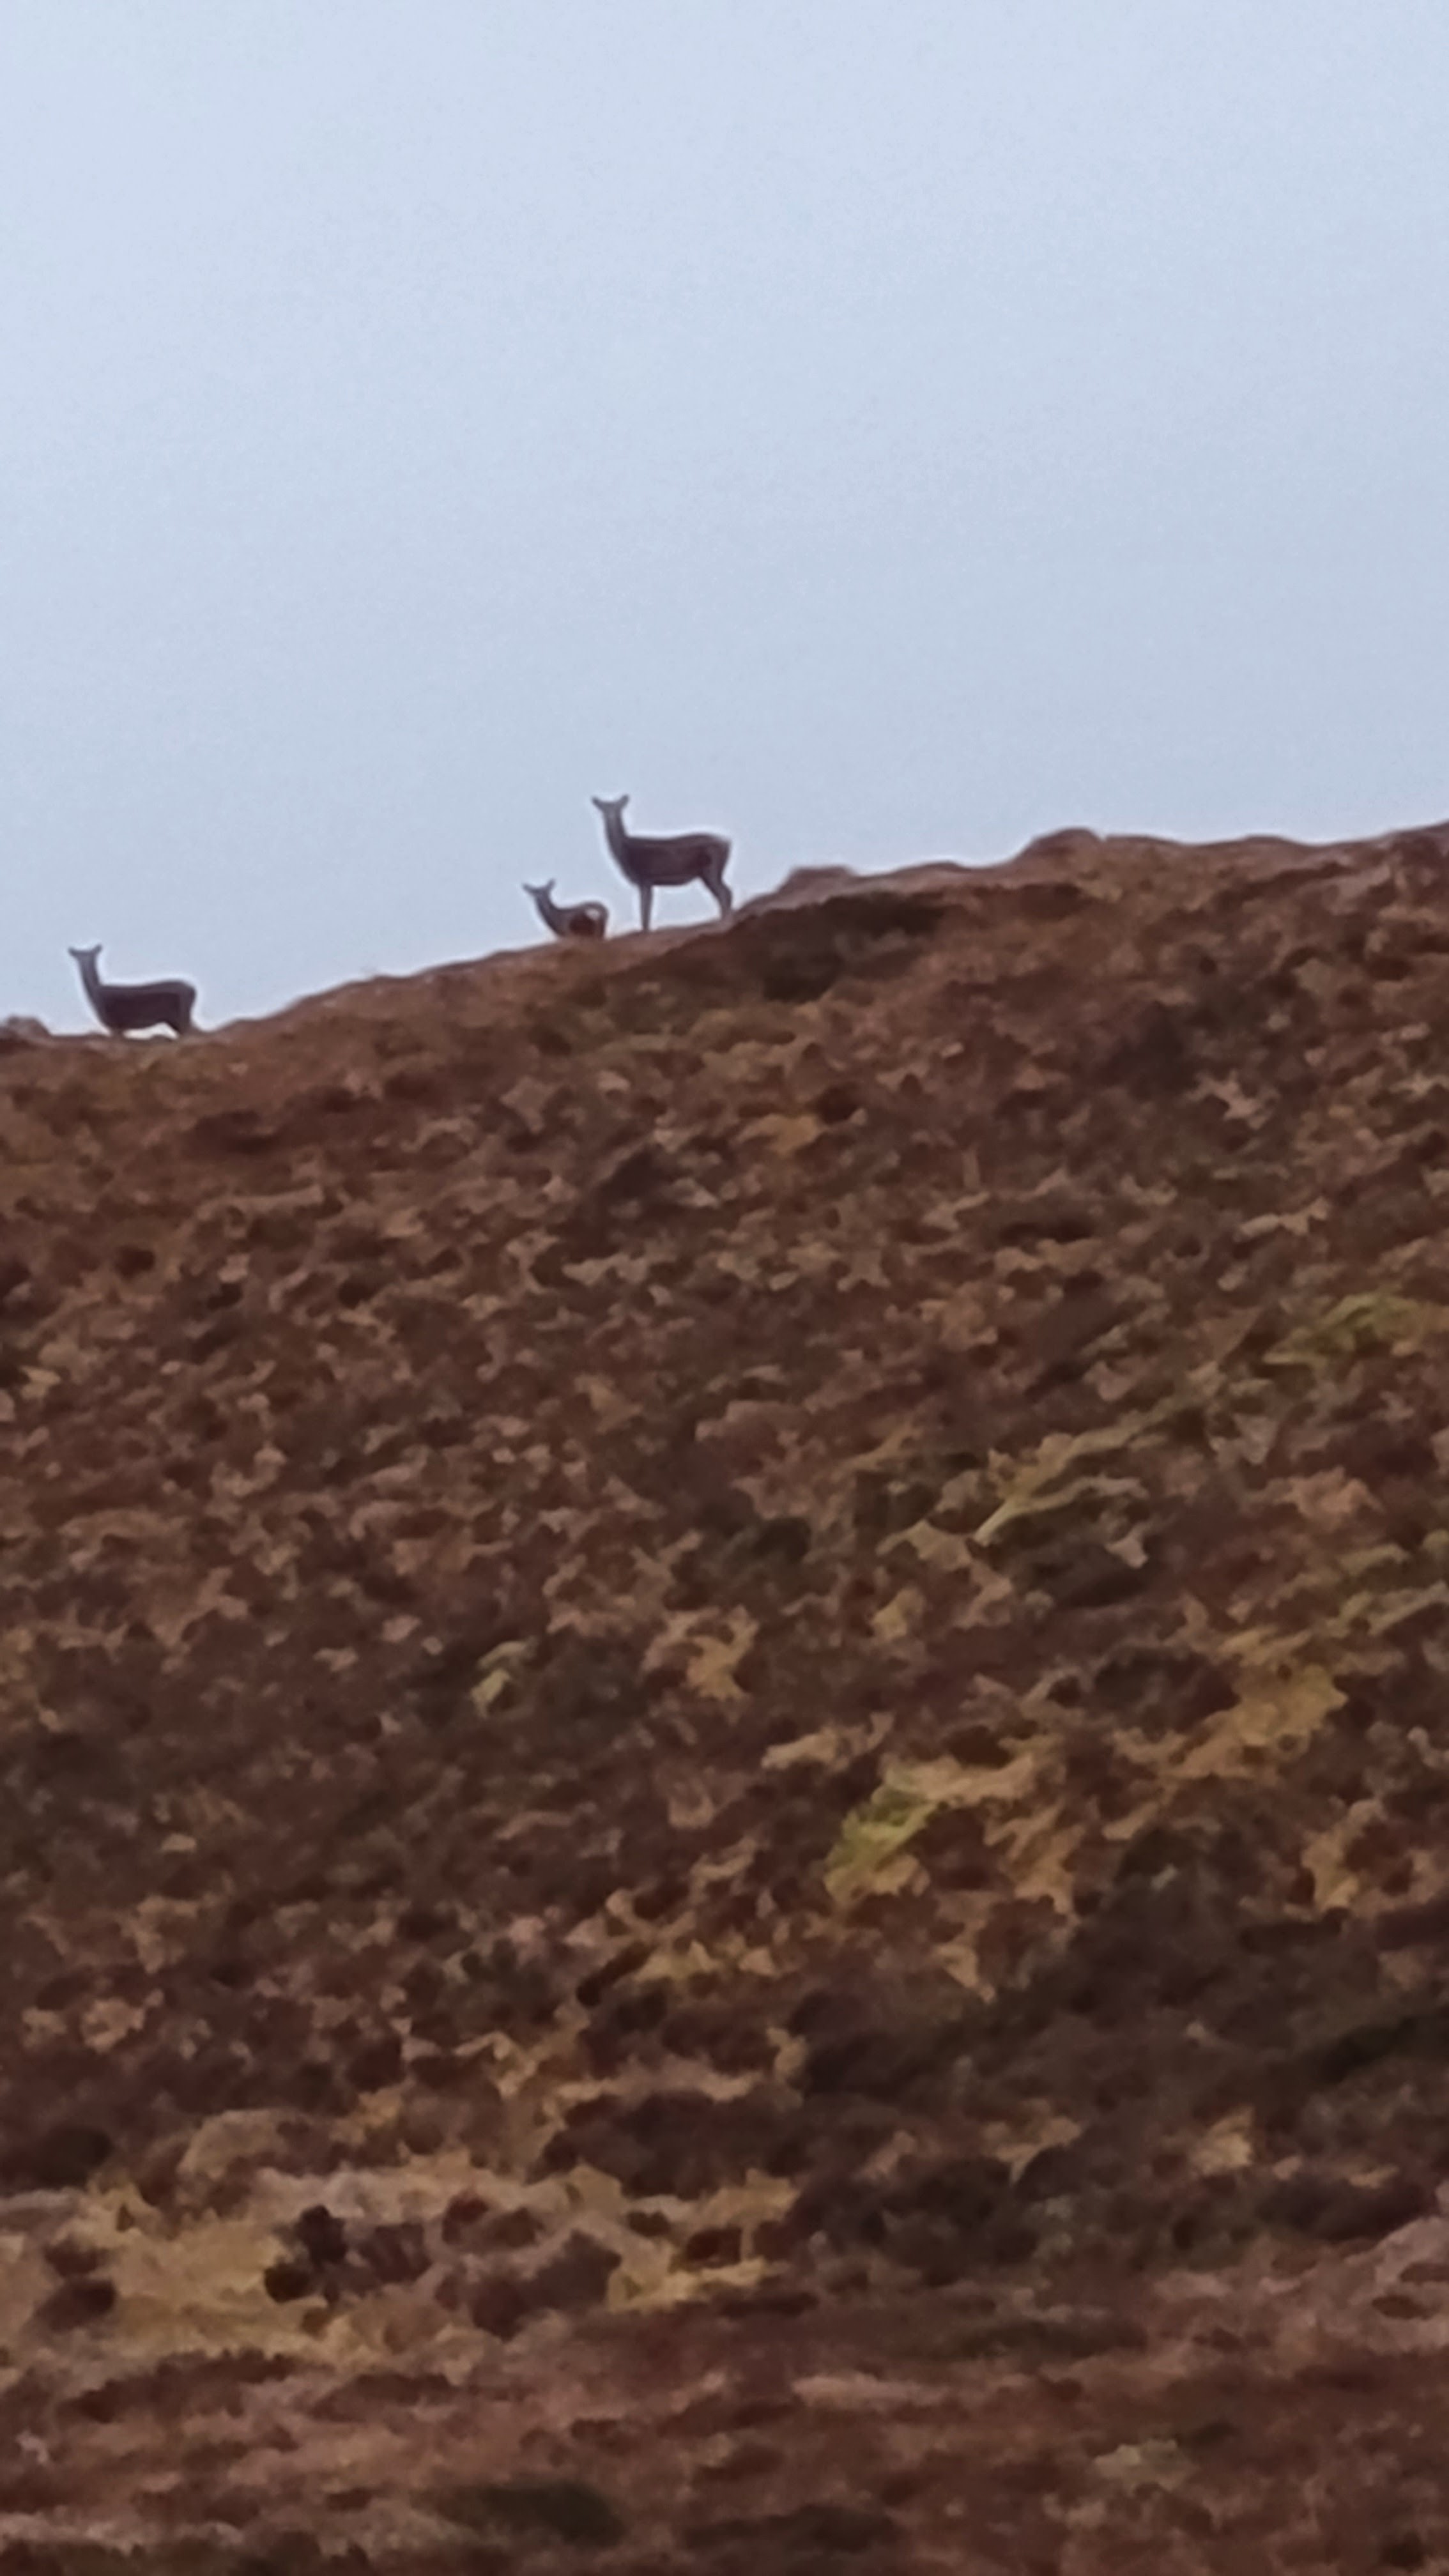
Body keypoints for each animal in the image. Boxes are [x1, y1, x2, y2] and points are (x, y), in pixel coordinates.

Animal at [69, 945, 197, 1037]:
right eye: (79, 957)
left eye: (92, 957)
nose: (84, 965)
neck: (95, 996)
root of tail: (194, 990)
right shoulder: (122, 1028)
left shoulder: (115, 1024)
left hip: (180, 1016)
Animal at [591, 794, 733, 934]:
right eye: (604, 810)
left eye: (618, 809)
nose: (610, 817)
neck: (626, 853)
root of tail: (728, 843)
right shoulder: (648, 881)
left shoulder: (645, 878)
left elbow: (645, 911)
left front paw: (645, 932)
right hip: (707, 873)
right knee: (725, 893)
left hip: (712, 868)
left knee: (724, 893)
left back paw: (724, 923)